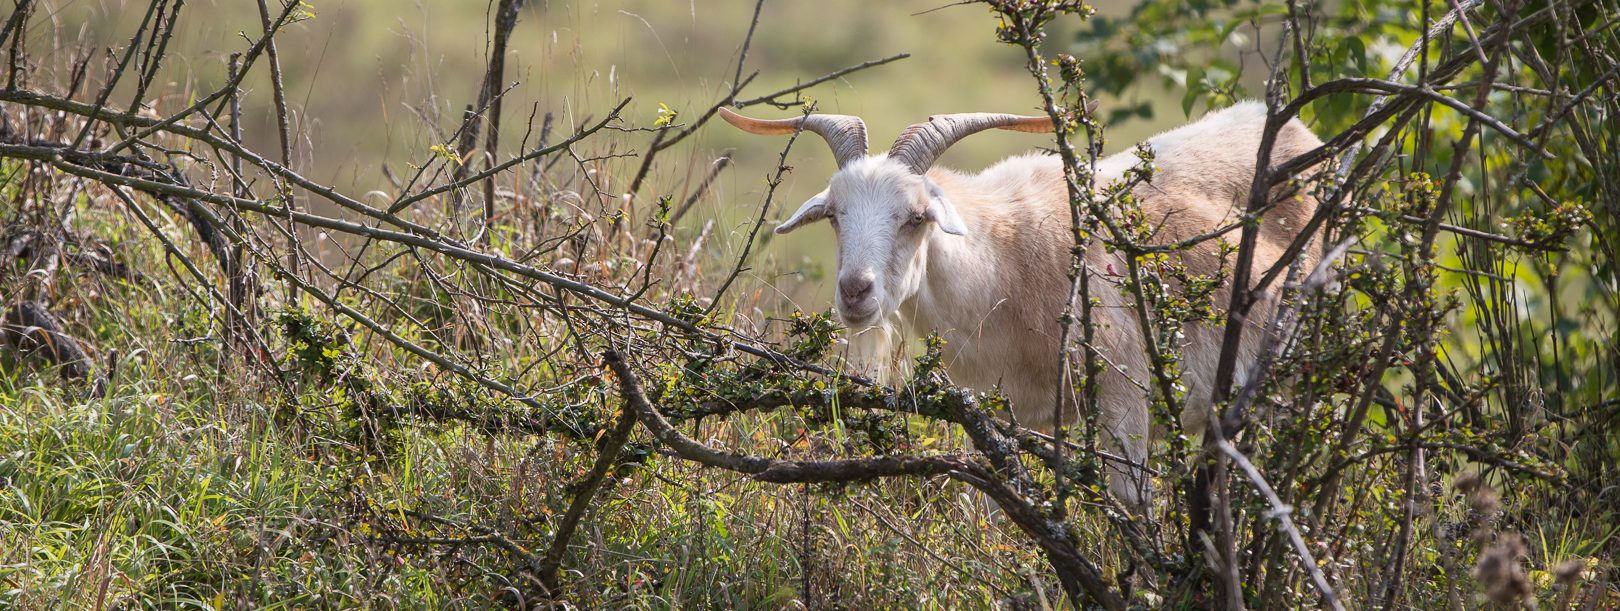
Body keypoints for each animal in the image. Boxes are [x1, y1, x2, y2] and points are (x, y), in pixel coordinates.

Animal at [729, 101, 1321, 505]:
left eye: (916, 217)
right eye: (834, 215)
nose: (855, 292)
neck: (1005, 264)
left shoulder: (1125, 397)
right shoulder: (1005, 415)